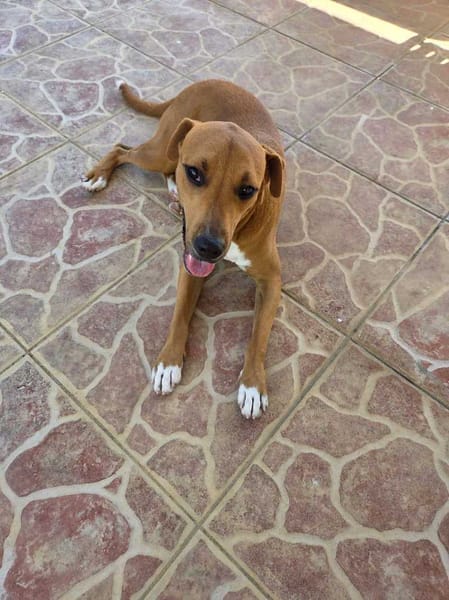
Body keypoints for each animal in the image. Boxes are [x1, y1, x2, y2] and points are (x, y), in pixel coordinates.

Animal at [83, 79, 285, 419]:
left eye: (248, 190)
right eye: (195, 173)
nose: (209, 247)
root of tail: (199, 83)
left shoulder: (271, 281)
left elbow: (259, 335)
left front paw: (253, 384)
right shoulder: (190, 265)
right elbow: (180, 314)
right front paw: (168, 361)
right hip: (160, 152)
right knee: (124, 149)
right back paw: (100, 174)